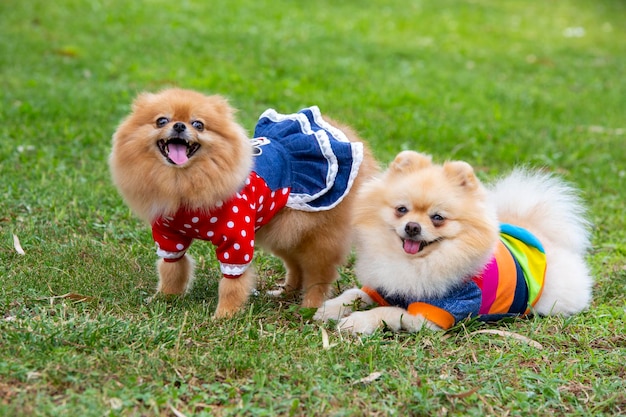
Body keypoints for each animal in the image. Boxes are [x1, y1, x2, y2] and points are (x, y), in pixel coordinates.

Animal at [109, 87, 376, 316]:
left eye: (198, 124)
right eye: (161, 121)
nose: (179, 125)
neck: (183, 181)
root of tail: (342, 133)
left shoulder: (237, 239)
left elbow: (232, 284)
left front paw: (225, 315)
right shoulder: (169, 236)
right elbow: (172, 269)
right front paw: (165, 298)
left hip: (317, 236)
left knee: (319, 275)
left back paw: (309, 307)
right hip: (284, 230)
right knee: (295, 265)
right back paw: (285, 292)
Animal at [314, 151, 592, 334]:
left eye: (437, 218)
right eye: (401, 210)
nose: (412, 227)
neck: (413, 263)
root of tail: (537, 233)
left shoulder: (431, 315)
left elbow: (386, 312)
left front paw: (355, 322)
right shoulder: (383, 287)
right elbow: (354, 293)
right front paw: (329, 309)